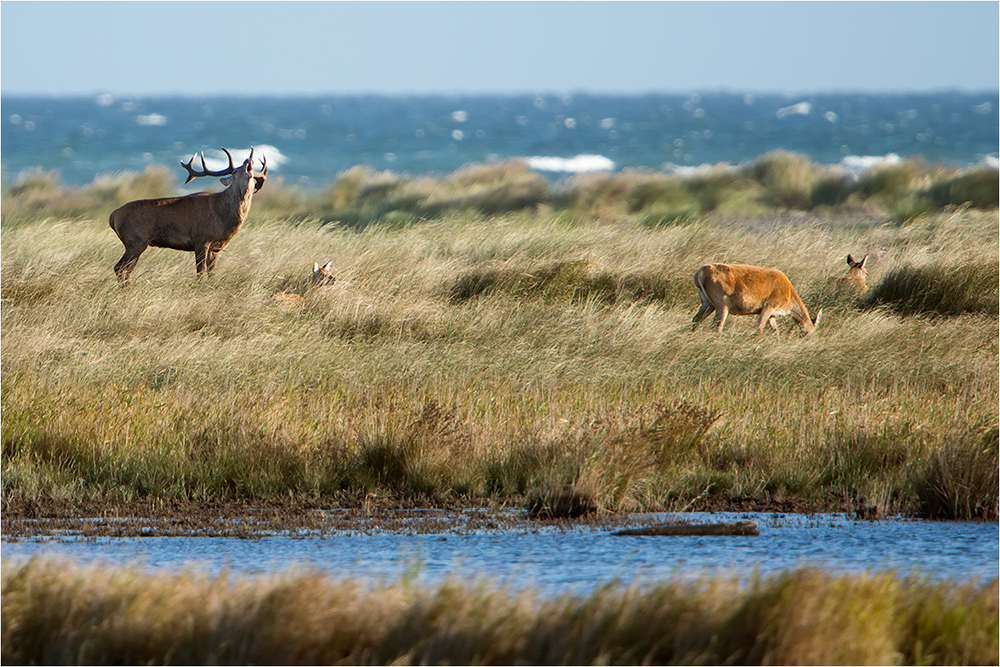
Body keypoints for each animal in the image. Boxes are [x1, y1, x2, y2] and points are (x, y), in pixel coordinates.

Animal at [108, 146, 266, 282]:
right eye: (234, 172)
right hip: (135, 240)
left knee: (126, 269)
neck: (222, 216)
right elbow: (200, 273)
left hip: (135, 243)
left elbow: (212, 274)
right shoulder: (201, 239)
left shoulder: (215, 247)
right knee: (119, 267)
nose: (248, 160)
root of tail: (113, 216)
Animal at [692, 262, 824, 336]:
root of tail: (699, 274)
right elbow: (760, 327)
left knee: (696, 319)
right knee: (717, 324)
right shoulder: (769, 305)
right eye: (812, 331)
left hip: (707, 303)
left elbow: (776, 331)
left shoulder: (772, 314)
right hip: (722, 303)